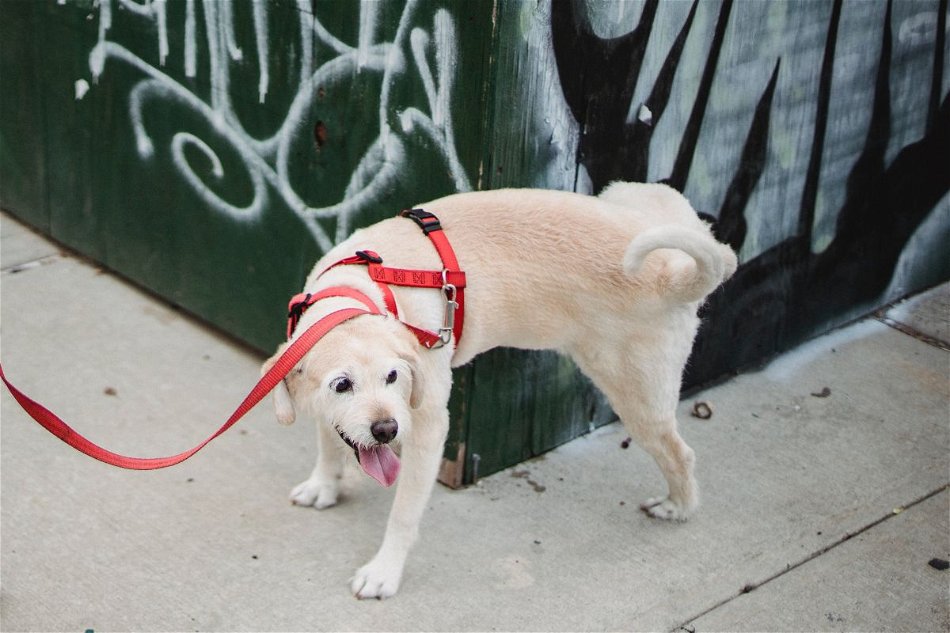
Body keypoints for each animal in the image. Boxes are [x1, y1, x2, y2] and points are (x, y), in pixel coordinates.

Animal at [264, 181, 740, 596]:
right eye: (342, 384)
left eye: (394, 377)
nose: (386, 431)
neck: (358, 293)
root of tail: (671, 272)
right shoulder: (330, 408)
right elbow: (329, 442)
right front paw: (323, 486)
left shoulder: (428, 428)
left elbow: (403, 513)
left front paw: (384, 572)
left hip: (637, 396)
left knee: (679, 453)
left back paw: (678, 507)